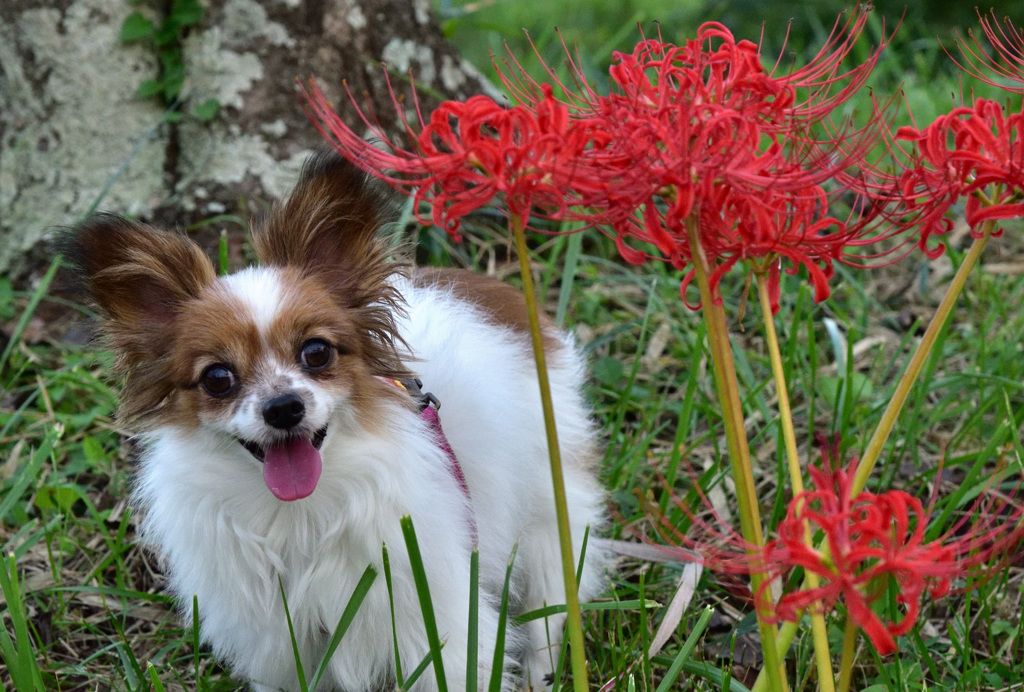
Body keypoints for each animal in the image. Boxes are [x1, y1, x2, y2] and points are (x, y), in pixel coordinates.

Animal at [70, 151, 606, 692]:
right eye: (218, 378)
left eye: (316, 351)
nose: (283, 407)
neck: (299, 514)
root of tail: (505, 296)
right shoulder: (285, 647)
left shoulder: (437, 625)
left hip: (550, 507)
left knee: (552, 599)